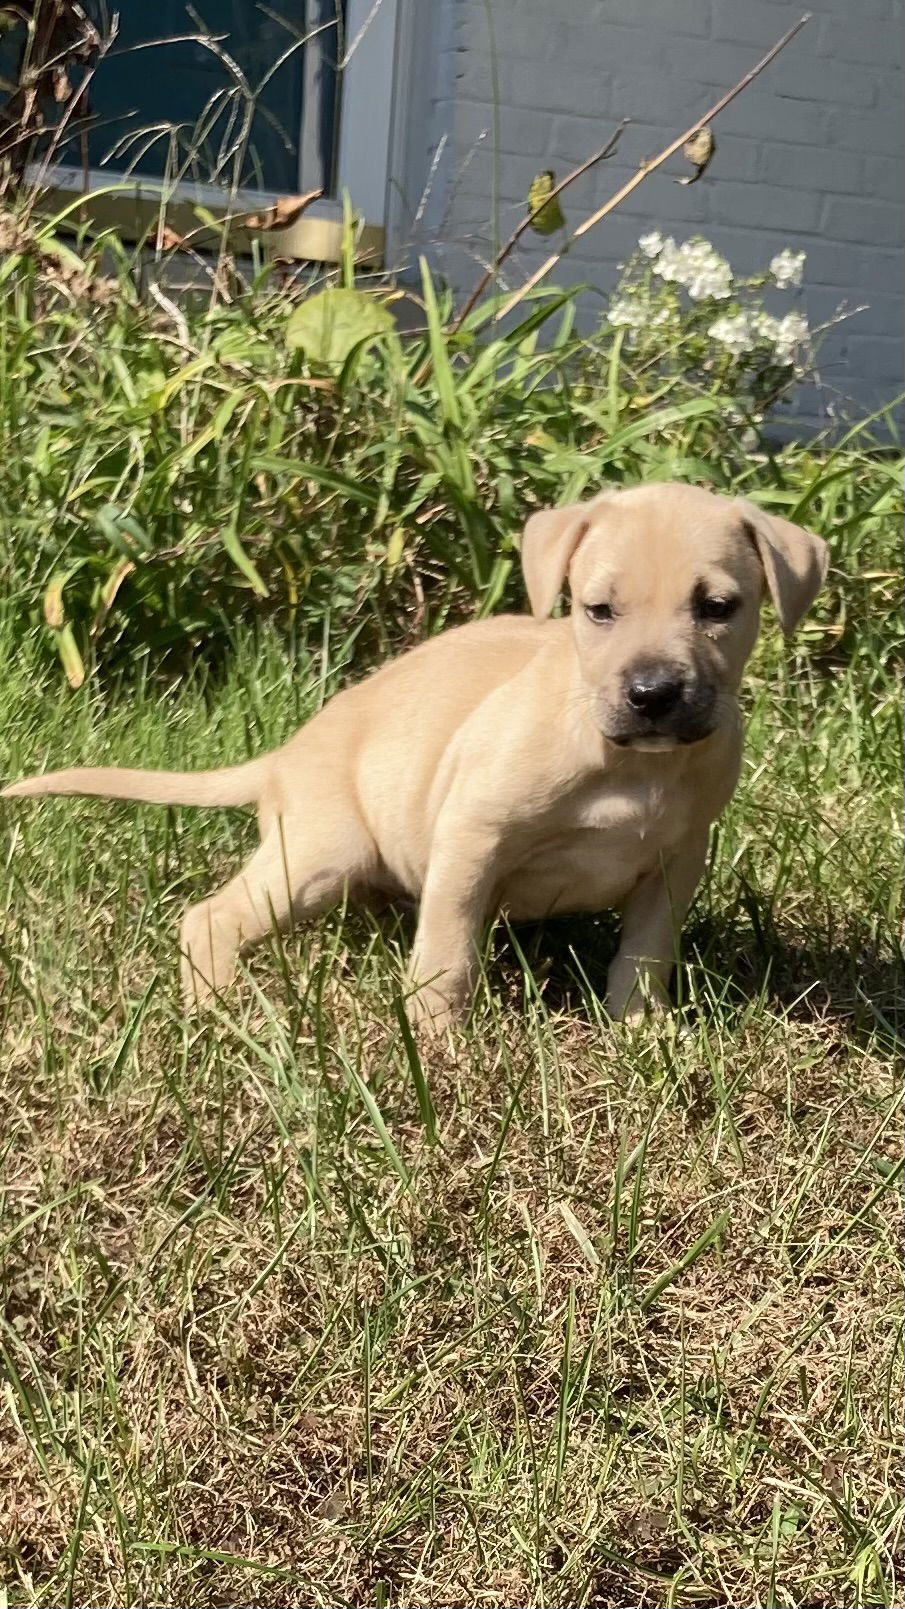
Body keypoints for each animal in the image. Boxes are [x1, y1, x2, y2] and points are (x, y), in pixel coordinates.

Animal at [3, 482, 830, 1029]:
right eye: (598, 610)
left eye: (716, 608)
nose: (653, 693)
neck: (632, 763)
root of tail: (284, 754)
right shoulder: (471, 836)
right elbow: (447, 948)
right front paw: (436, 1040)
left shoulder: (674, 860)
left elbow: (645, 951)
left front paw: (638, 1029)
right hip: (319, 853)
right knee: (211, 917)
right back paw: (220, 1006)